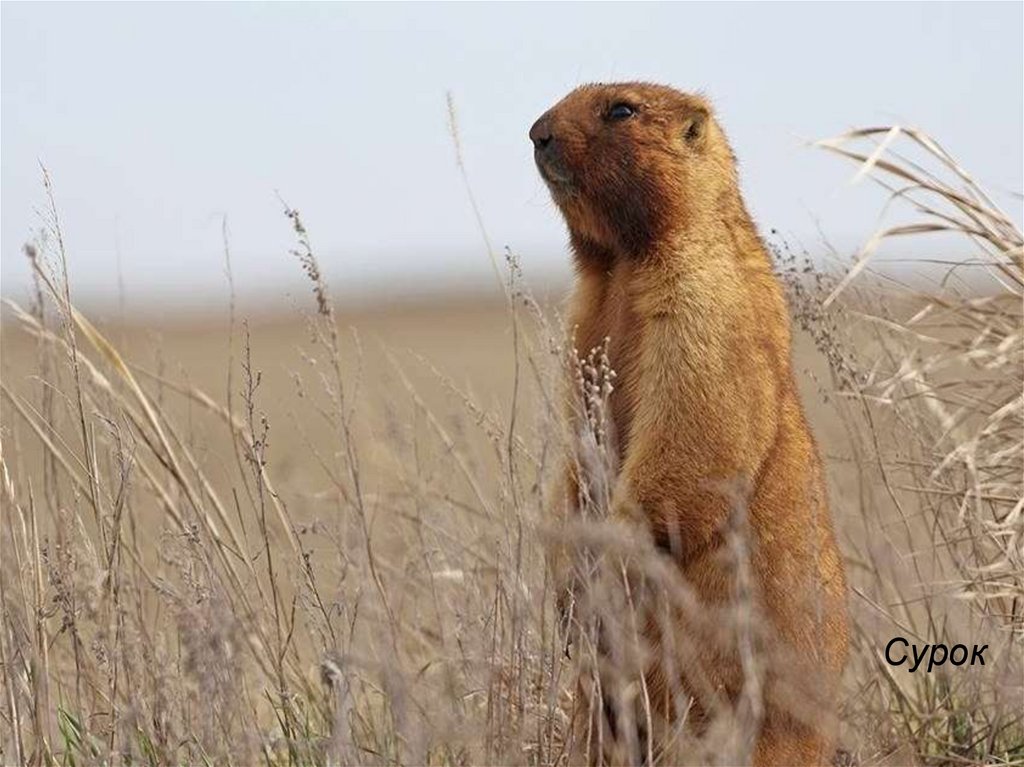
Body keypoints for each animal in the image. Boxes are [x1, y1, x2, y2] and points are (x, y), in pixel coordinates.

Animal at [531, 83, 848, 766]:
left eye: (622, 110)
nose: (535, 132)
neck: (620, 265)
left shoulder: (703, 305)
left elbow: (689, 436)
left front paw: (606, 564)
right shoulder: (582, 325)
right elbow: (575, 447)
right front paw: (566, 569)